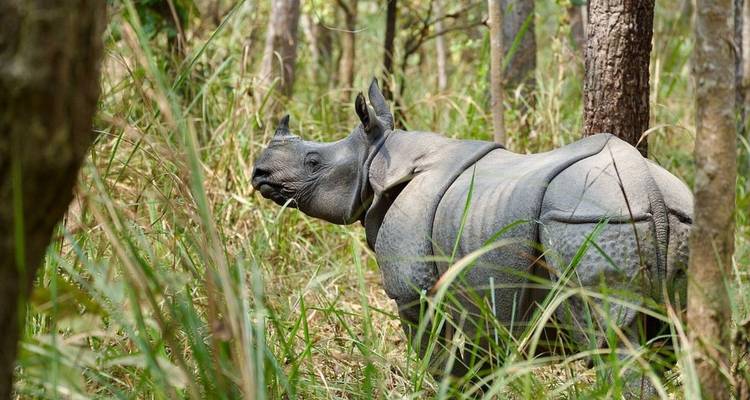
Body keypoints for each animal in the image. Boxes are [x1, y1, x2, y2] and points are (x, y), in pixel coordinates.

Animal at [251, 79, 693, 384]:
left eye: (313, 162)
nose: (259, 172)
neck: (378, 159)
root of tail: (648, 190)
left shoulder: (414, 290)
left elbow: (438, 353)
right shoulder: (473, 285)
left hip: (593, 220)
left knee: (613, 340)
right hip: (674, 217)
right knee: (665, 339)